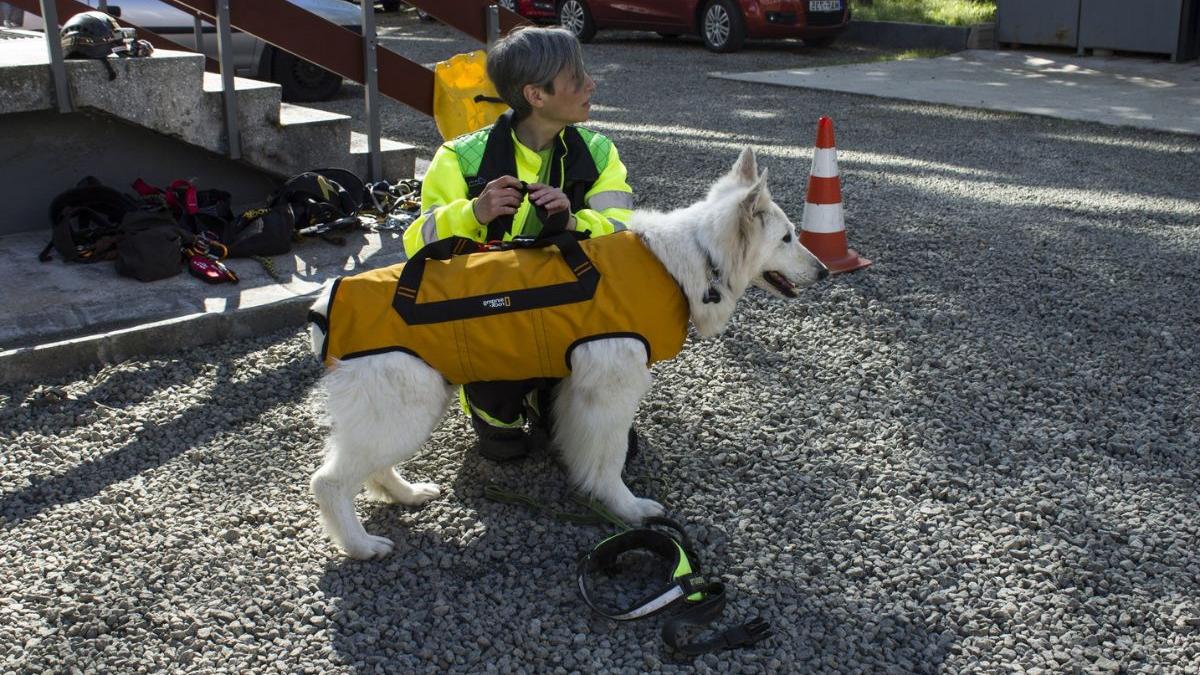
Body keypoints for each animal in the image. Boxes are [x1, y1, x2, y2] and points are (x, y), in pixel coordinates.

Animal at [304, 147, 825, 557]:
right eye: (787, 238)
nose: (825, 271)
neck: (687, 261)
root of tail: (326, 305)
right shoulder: (611, 396)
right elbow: (611, 459)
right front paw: (627, 508)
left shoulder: (579, 391)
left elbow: (585, 448)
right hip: (407, 411)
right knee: (328, 482)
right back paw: (361, 545)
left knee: (372, 468)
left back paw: (406, 493)